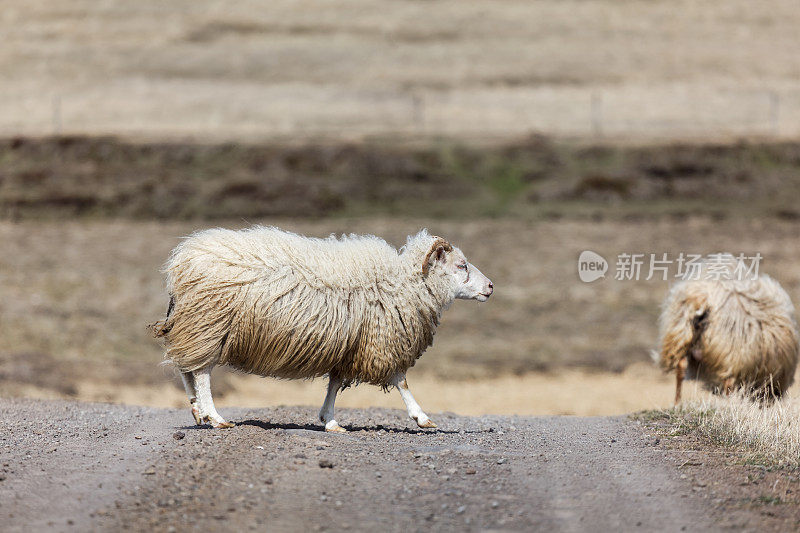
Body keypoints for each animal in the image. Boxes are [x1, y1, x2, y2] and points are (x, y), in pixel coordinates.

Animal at [150, 227, 494, 430]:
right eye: (462, 265)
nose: (491, 286)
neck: (405, 283)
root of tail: (180, 262)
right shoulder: (380, 340)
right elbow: (401, 380)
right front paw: (422, 417)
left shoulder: (351, 344)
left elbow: (335, 383)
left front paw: (330, 421)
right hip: (209, 321)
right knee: (201, 372)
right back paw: (216, 417)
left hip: (196, 323)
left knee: (187, 369)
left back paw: (198, 412)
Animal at [652, 255, 796, 404]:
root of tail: (701, 298)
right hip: (730, 349)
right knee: (728, 381)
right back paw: (727, 402)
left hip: (679, 335)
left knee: (681, 366)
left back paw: (677, 403)